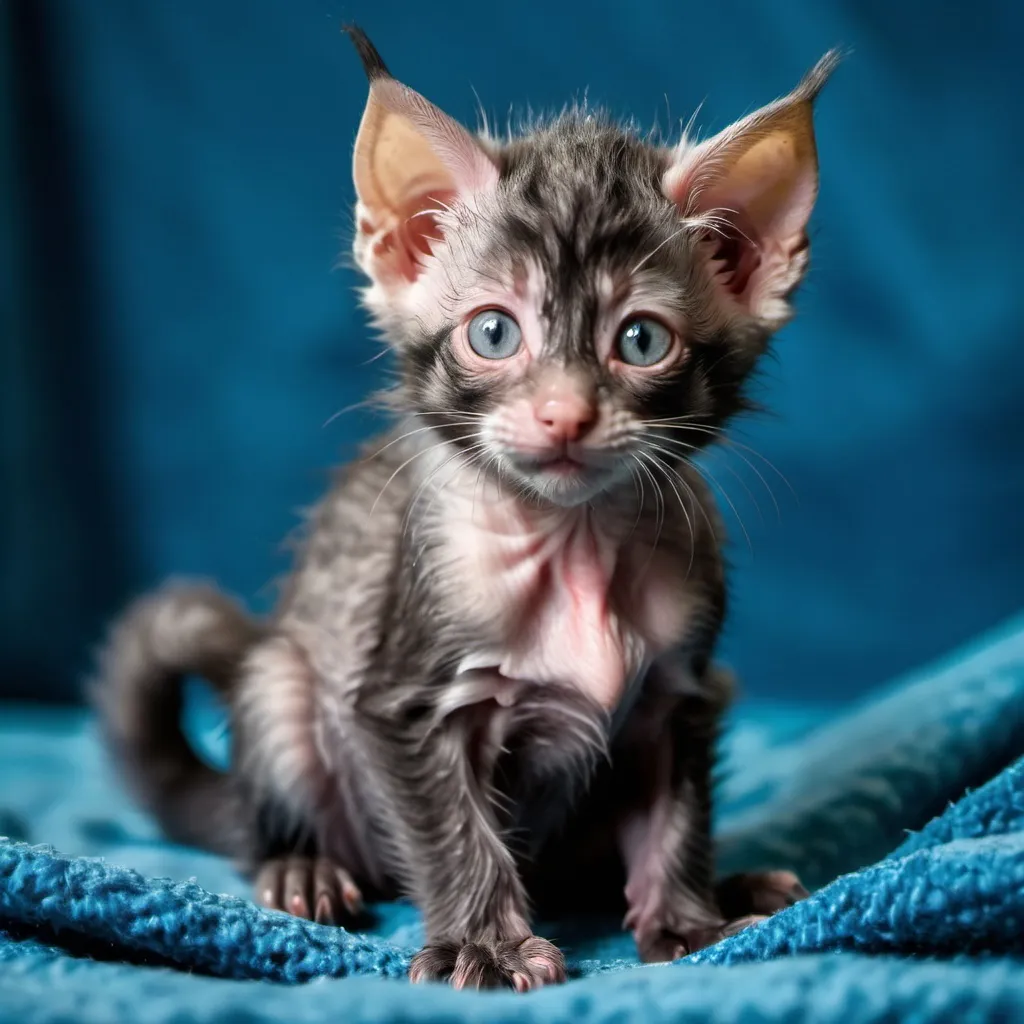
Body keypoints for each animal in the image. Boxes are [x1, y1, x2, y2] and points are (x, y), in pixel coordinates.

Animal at [92, 29, 835, 991]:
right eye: (494, 332)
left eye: (641, 341)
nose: (564, 413)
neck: (573, 544)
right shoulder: (406, 706)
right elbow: (457, 838)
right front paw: (485, 945)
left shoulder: (682, 694)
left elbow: (676, 819)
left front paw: (687, 921)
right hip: (284, 684)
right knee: (275, 791)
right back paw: (302, 867)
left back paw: (737, 884)